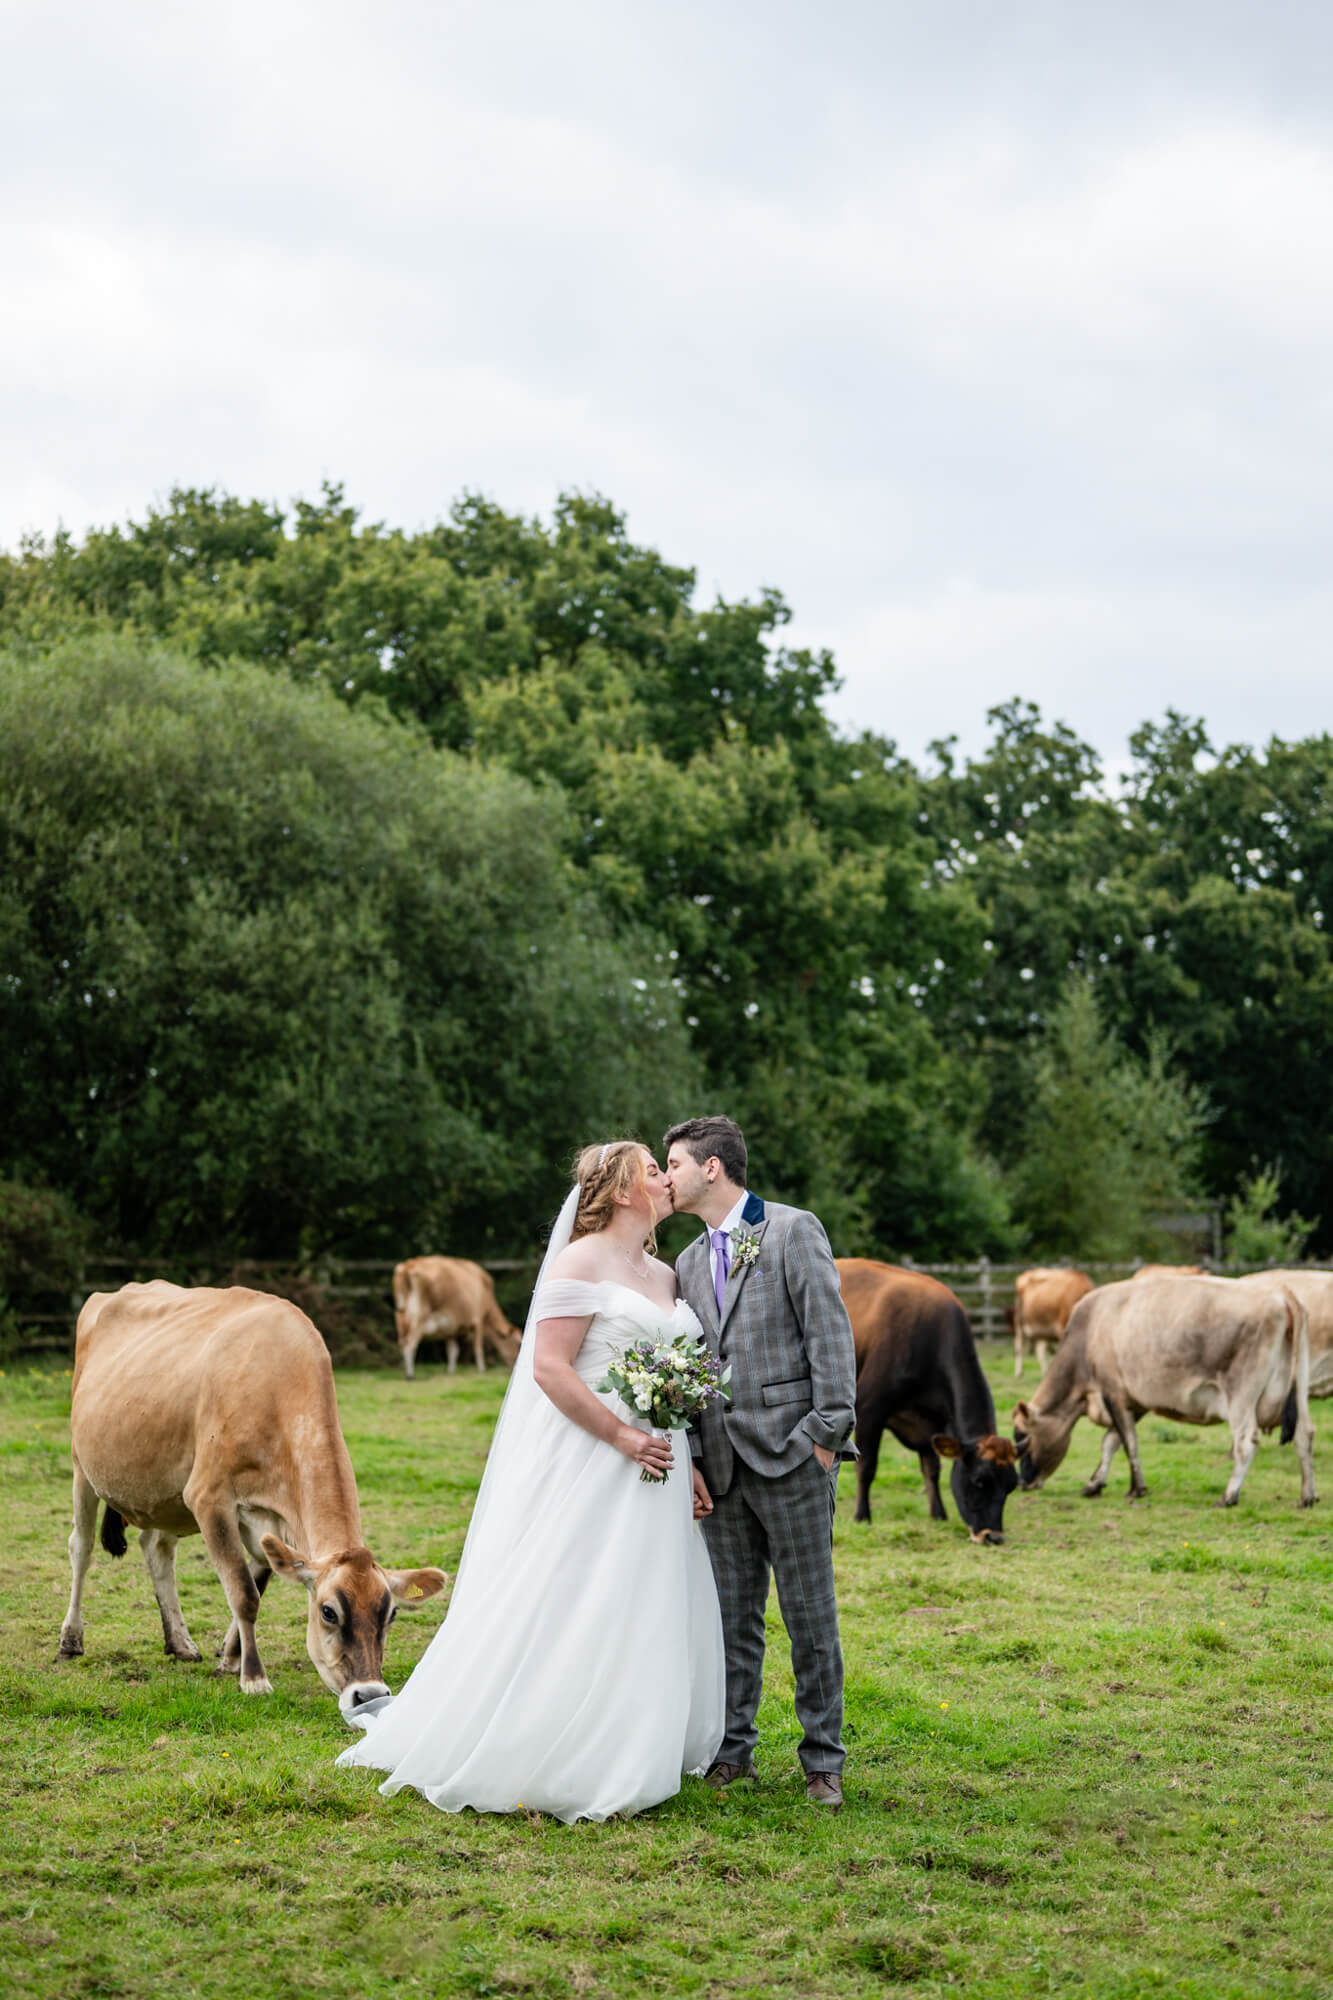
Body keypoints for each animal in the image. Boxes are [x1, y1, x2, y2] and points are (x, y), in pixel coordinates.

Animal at [58, 1280, 446, 1704]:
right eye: (328, 1612)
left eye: (390, 1613)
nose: (370, 1693)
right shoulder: (209, 1498)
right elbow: (244, 1592)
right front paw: (254, 1677)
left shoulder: (273, 1521)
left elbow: (259, 1579)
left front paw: (230, 1656)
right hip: (82, 1465)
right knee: (81, 1548)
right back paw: (71, 1639)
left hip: (162, 1491)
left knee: (157, 1549)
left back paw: (180, 1641)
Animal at [390, 1256, 520, 1384]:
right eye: (518, 1344)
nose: (513, 1364)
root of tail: (408, 1266)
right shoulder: (478, 1320)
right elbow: (477, 1347)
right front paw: (482, 1370)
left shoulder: (450, 1329)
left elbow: (453, 1351)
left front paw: (451, 1372)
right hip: (420, 1316)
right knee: (410, 1344)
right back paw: (410, 1375)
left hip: (401, 1315)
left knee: (402, 1343)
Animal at [836, 1264, 1012, 1544]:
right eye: (979, 1481)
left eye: (1011, 1486)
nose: (994, 1537)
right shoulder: (869, 1409)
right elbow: (867, 1467)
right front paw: (862, 1516)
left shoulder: (932, 1422)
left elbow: (932, 1469)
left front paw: (938, 1513)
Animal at [1012, 1280, 1312, 1504]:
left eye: (1022, 1436)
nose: (1023, 1482)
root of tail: (1280, 1293)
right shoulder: (1134, 1401)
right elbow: (1111, 1442)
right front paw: (1095, 1484)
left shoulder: (1113, 1392)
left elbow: (1128, 1442)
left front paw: (1136, 1488)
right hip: (1299, 1389)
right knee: (1304, 1434)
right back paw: (1307, 1496)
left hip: (1240, 1394)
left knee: (1246, 1440)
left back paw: (1229, 1496)